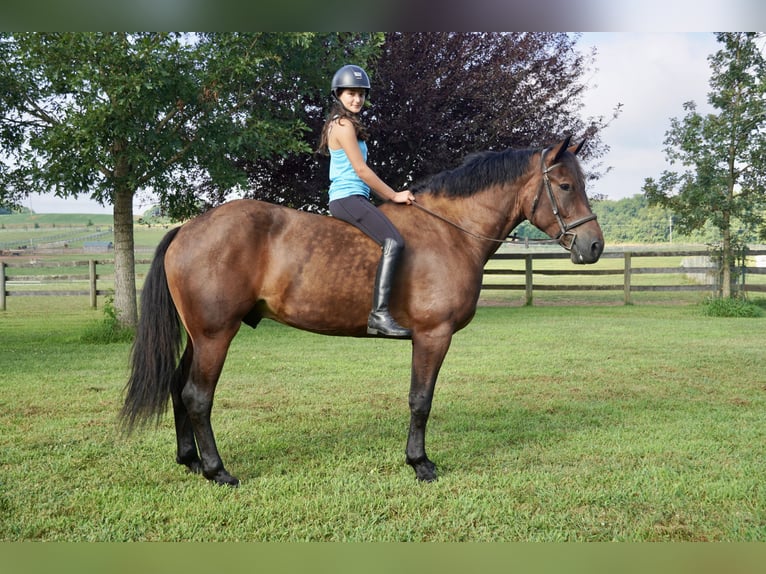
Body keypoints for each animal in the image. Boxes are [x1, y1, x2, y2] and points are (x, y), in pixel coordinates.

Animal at [121, 135, 604, 486]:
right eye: (565, 186)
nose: (594, 246)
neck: (450, 232)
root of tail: (187, 228)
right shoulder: (432, 335)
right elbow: (421, 400)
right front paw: (420, 463)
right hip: (215, 335)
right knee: (197, 397)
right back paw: (217, 470)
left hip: (200, 336)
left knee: (178, 387)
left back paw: (189, 460)